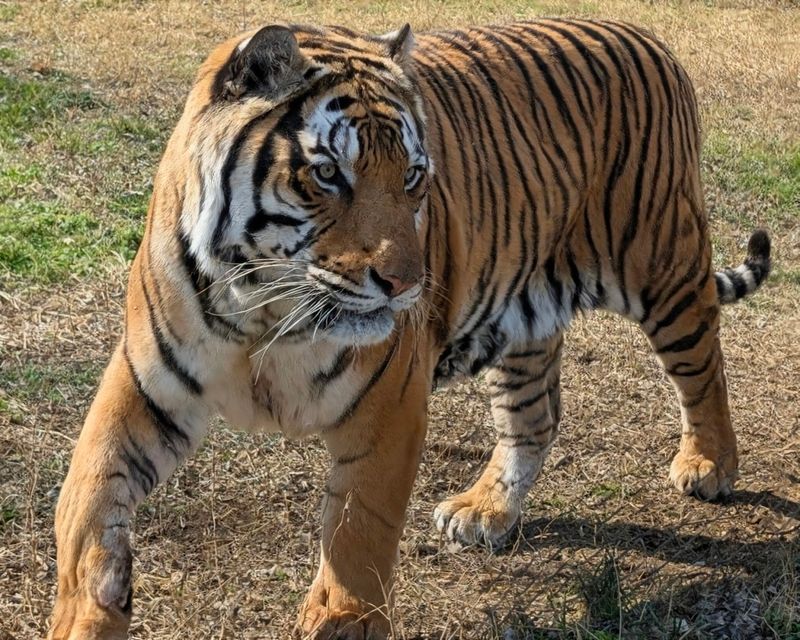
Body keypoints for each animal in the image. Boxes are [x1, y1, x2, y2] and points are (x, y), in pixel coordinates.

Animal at [49, 18, 771, 640]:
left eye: (414, 177)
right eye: (327, 174)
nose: (405, 284)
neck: (265, 310)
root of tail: (647, 37)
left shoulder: (389, 404)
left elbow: (359, 530)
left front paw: (343, 623)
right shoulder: (142, 387)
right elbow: (87, 505)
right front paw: (87, 614)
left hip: (663, 268)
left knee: (703, 366)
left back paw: (708, 464)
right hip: (524, 316)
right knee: (534, 417)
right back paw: (488, 511)